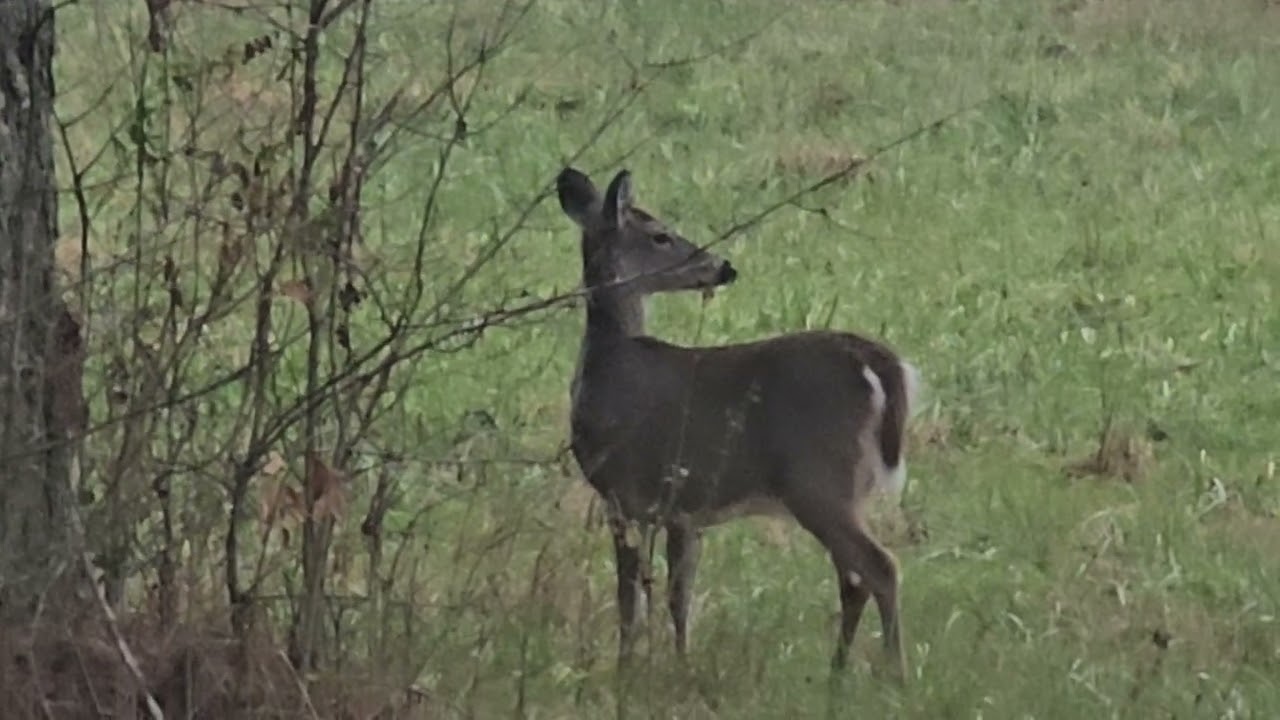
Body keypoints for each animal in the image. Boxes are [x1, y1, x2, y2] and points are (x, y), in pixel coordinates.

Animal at [555, 166, 921, 680]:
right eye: (661, 235)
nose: (722, 267)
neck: (606, 365)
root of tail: (874, 361)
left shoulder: (622, 492)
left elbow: (631, 598)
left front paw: (628, 669)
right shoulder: (681, 511)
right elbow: (677, 595)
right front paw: (679, 663)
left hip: (817, 479)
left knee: (880, 567)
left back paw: (895, 676)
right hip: (847, 487)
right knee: (854, 578)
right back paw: (837, 674)